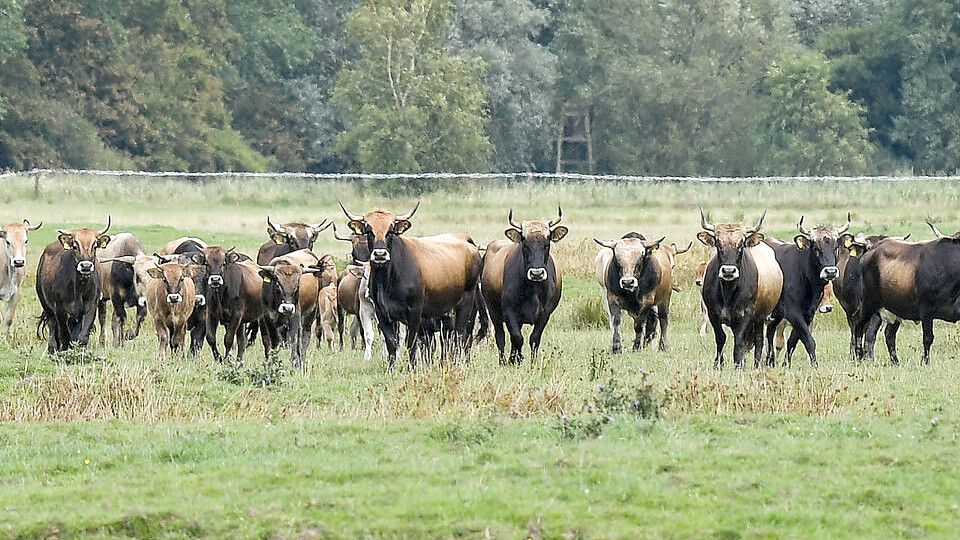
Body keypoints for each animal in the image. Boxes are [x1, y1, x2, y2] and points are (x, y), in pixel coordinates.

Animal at [37, 218, 113, 354]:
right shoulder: (60, 309)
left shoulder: (91, 306)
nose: (86, 266)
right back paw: (53, 348)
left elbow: (82, 336)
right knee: (52, 328)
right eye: (75, 246)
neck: (79, 287)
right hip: (47, 306)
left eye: (95, 246)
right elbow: (64, 335)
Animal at [342, 200, 484, 370]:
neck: (388, 280)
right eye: (369, 230)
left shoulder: (415, 312)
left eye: (391, 231)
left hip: (465, 305)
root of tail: (467, 242)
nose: (380, 254)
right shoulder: (382, 313)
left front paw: (412, 368)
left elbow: (411, 343)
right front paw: (391, 369)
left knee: (460, 336)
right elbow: (391, 343)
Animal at [478, 209, 568, 364]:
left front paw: (532, 363)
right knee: (500, 337)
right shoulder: (509, 312)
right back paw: (503, 360)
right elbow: (517, 338)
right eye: (525, 244)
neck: (533, 288)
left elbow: (534, 339)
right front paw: (515, 359)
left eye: (547, 244)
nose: (536, 273)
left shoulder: (545, 313)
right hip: (493, 312)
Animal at [696, 209, 788, 370]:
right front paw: (719, 364)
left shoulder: (746, 315)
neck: (728, 292)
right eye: (718, 244)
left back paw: (757, 364)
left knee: (759, 340)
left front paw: (738, 364)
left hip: (760, 318)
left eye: (741, 245)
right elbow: (721, 338)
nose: (728, 271)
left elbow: (739, 340)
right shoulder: (713, 314)